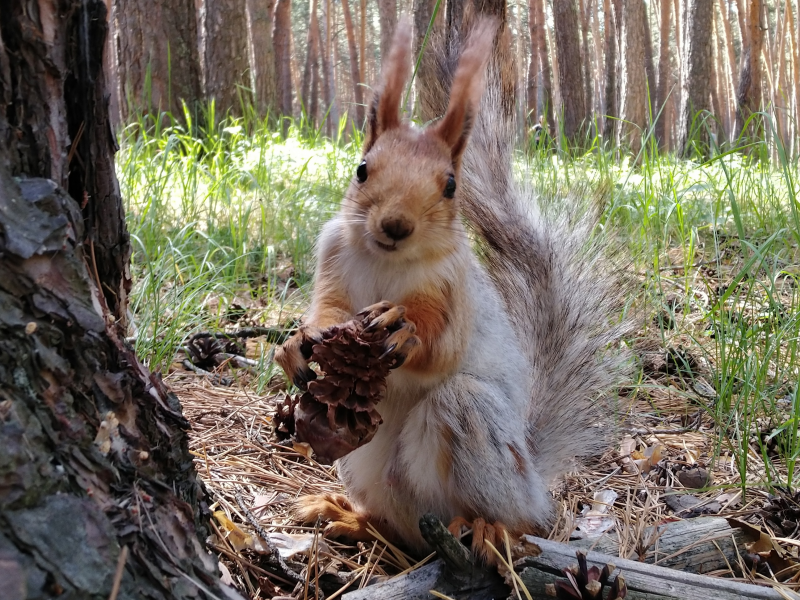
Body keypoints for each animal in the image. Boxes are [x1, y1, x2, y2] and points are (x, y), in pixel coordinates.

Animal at [276, 15, 632, 556]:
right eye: (362, 169)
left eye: (449, 186)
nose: (395, 225)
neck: (389, 263)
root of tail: (534, 481)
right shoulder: (333, 258)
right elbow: (329, 310)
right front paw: (298, 341)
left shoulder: (452, 288)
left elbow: (441, 349)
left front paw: (402, 329)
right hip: (365, 470)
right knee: (396, 528)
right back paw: (350, 516)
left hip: (480, 434)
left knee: (514, 512)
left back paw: (493, 528)